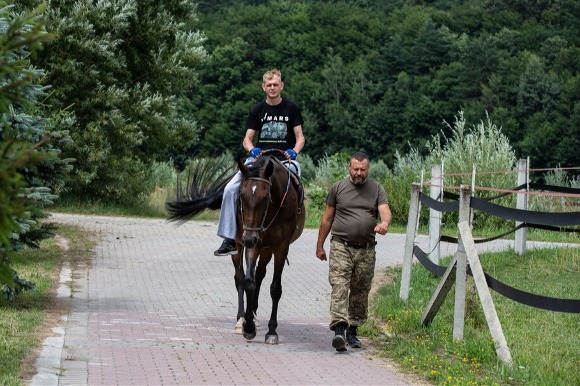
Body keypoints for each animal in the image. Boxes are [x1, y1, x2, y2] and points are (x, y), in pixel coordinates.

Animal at [165, 150, 306, 344]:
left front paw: (271, 331)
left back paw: (253, 313)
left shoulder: (280, 247)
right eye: (242, 196)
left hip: (265, 248)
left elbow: (275, 288)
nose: (249, 238)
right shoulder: (253, 243)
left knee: (260, 275)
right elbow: (248, 282)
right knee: (240, 277)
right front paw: (248, 327)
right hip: (239, 246)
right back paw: (241, 319)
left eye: (266, 197)